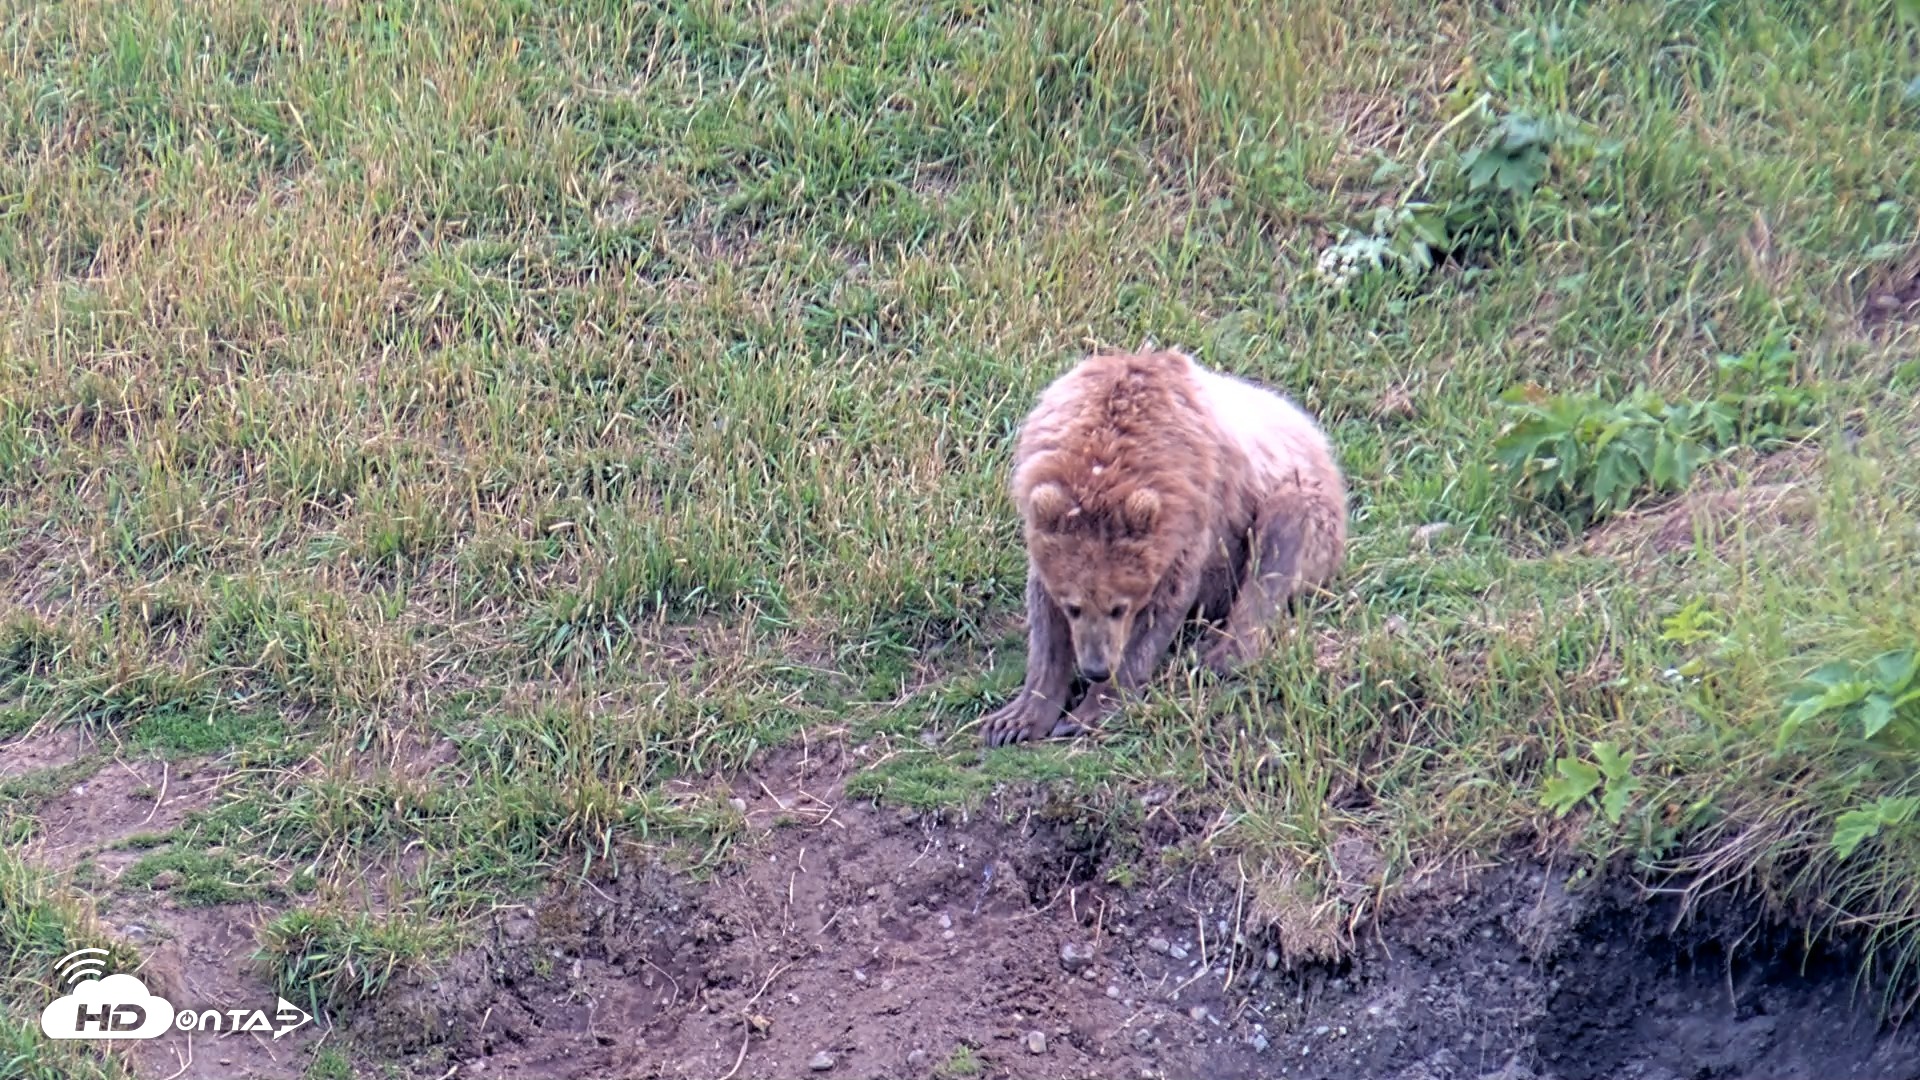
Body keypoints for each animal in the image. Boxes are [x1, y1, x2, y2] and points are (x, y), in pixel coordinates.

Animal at [979, 348, 1347, 747]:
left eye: (1119, 607)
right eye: (1073, 606)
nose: (1096, 669)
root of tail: (1320, 440)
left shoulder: (1191, 518)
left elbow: (1159, 613)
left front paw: (1091, 710)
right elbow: (1045, 622)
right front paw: (1014, 720)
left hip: (1298, 500)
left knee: (1278, 548)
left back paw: (1220, 655)